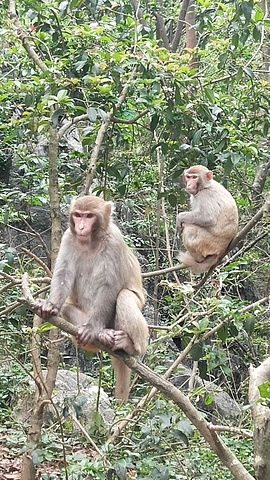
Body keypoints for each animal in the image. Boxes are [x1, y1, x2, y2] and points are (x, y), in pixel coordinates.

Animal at [34, 195, 149, 402]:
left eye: (89, 216)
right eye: (78, 215)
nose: (80, 227)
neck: (90, 240)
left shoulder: (114, 241)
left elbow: (109, 286)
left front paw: (92, 328)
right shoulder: (68, 238)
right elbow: (63, 274)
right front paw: (51, 304)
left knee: (125, 296)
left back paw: (128, 345)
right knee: (67, 309)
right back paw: (102, 336)